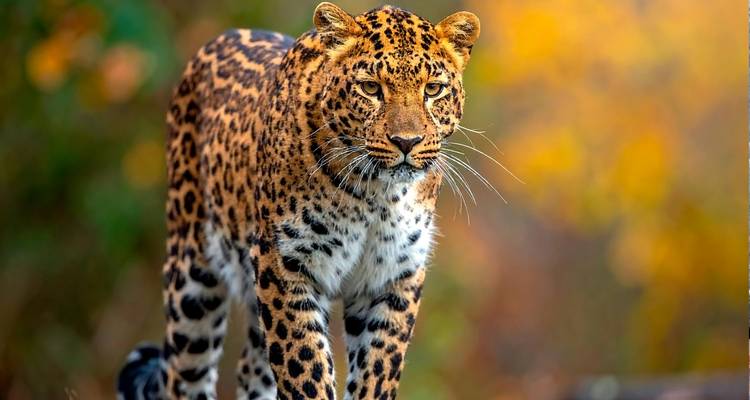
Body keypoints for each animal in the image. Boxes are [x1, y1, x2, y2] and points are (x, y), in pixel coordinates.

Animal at [117, 2, 480, 399]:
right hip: (193, 278)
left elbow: (378, 369)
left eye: (433, 89)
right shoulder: (284, 265)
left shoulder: (394, 275)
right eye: (371, 88)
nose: (407, 142)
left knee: (250, 369)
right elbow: (304, 366)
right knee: (183, 376)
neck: (378, 194)